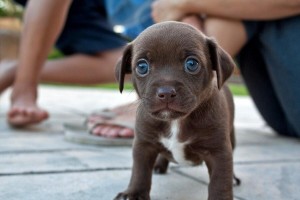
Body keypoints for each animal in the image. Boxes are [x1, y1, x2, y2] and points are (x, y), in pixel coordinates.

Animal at [114, 21, 237, 200]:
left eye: (192, 64)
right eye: (142, 66)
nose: (165, 92)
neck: (175, 121)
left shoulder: (219, 151)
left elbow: (220, 182)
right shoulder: (144, 145)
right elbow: (140, 172)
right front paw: (134, 193)